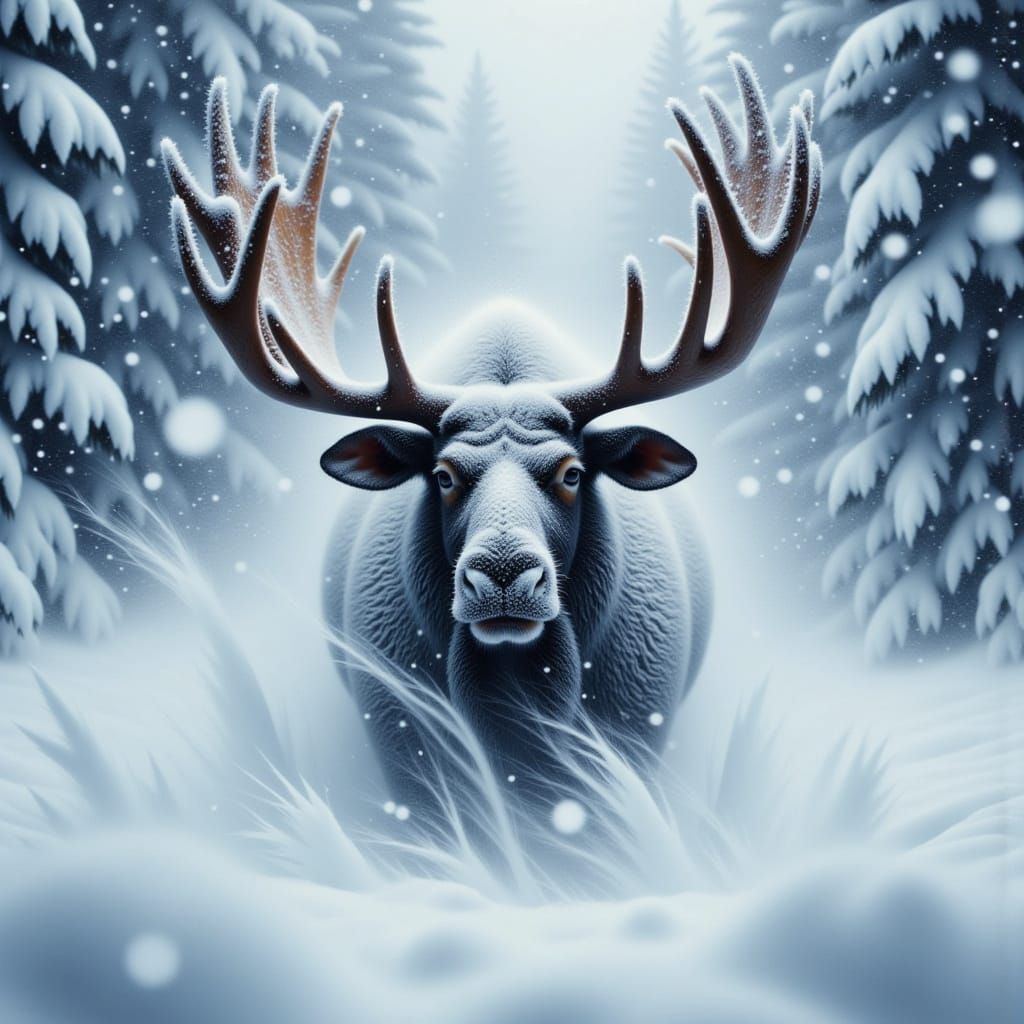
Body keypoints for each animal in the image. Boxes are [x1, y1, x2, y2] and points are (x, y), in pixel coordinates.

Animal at [162, 56, 820, 815]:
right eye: (443, 475)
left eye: (571, 473)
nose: (504, 575)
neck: (516, 715)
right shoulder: (404, 746)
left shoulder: (635, 736)